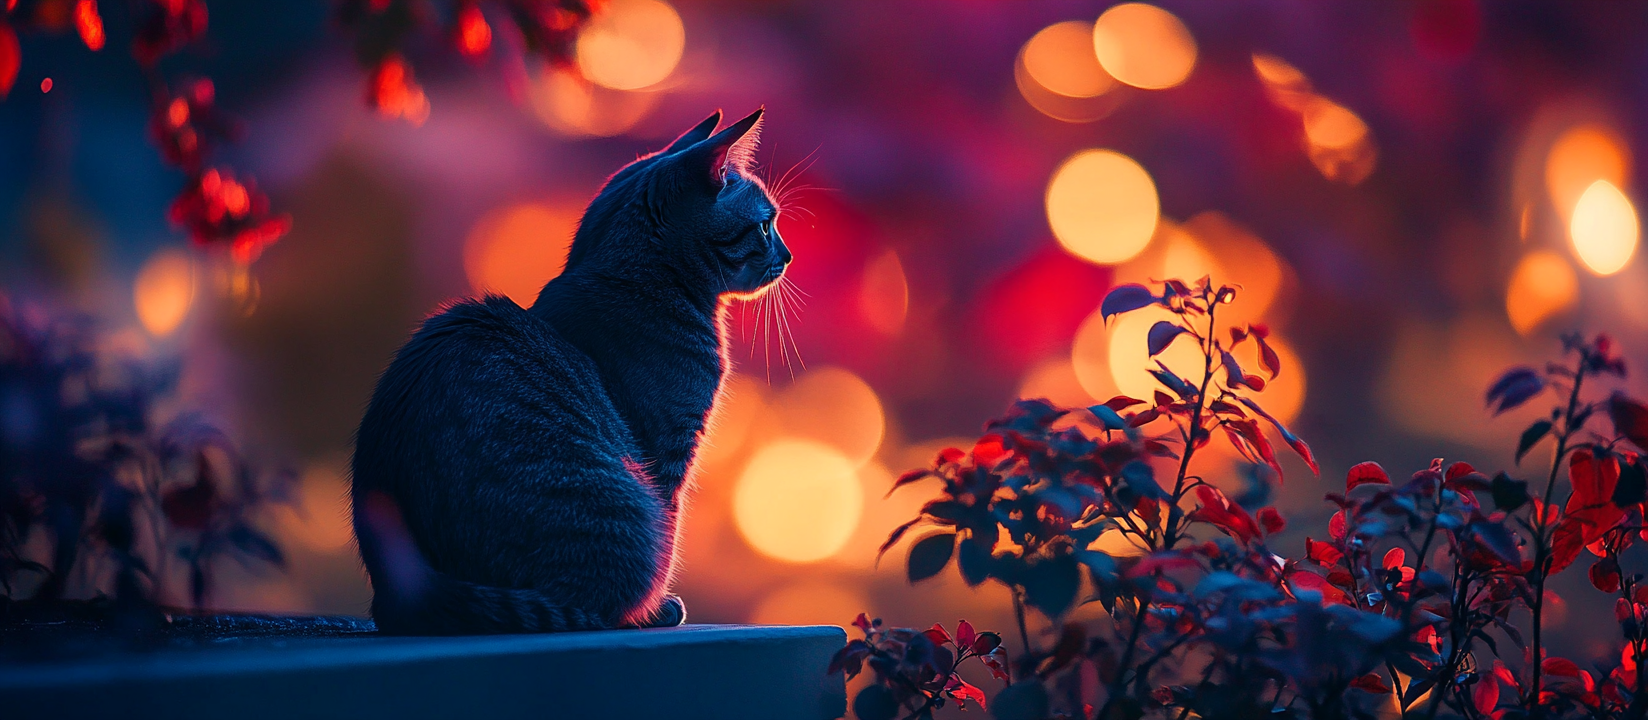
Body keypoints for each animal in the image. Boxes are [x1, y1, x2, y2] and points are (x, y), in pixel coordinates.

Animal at [351, 109, 787, 632]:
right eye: (766, 226)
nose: (787, 256)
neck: (640, 282)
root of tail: (401, 596)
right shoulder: (669, 451)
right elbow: (668, 528)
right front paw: (655, 610)